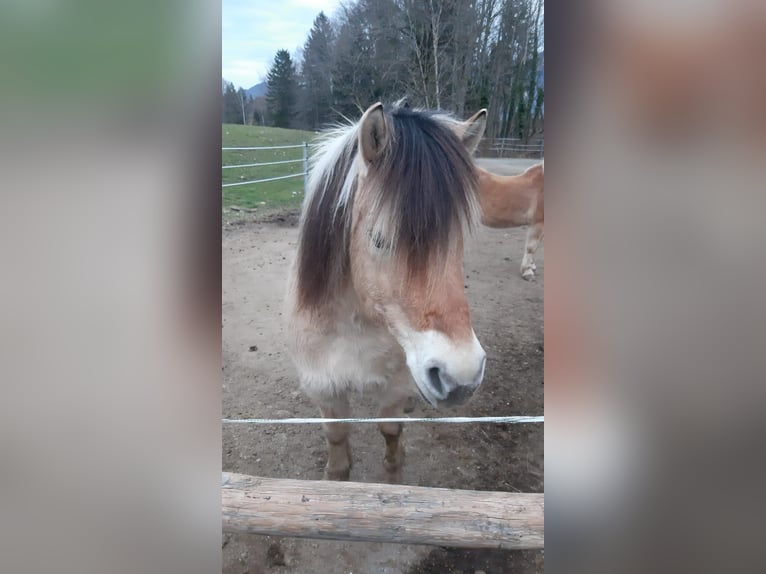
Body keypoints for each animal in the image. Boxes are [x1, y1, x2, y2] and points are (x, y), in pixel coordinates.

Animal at [284, 101, 488, 484]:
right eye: (379, 240)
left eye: (458, 240)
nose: (462, 377)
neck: (355, 326)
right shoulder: (325, 390)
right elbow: (338, 452)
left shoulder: (394, 389)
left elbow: (391, 440)